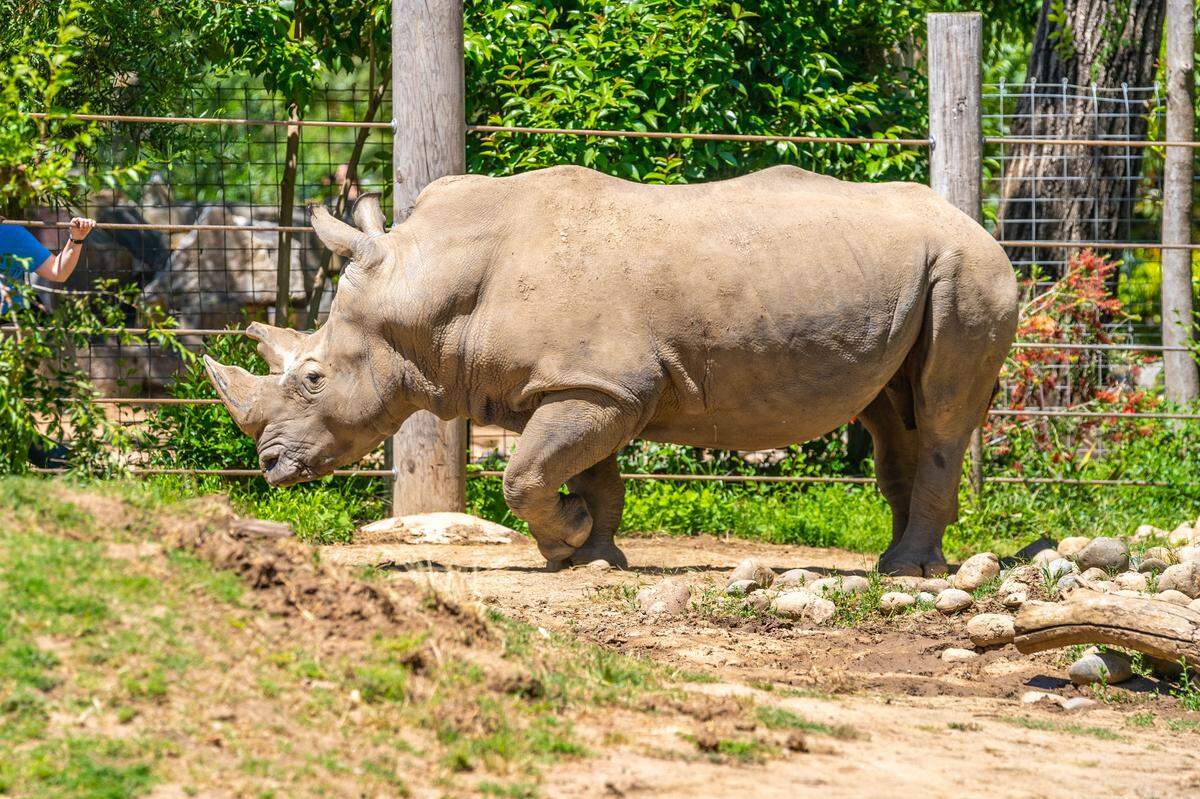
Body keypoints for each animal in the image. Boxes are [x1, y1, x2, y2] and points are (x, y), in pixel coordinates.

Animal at [204, 165, 1018, 576]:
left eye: (312, 379)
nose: (268, 464)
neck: (424, 287)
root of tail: (977, 223)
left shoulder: (602, 384)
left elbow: (525, 473)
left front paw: (567, 539)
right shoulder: (583, 383)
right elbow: (582, 471)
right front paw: (590, 551)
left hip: (969, 272)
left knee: (941, 412)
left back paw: (908, 575)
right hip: (918, 272)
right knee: (891, 414)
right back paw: (900, 563)